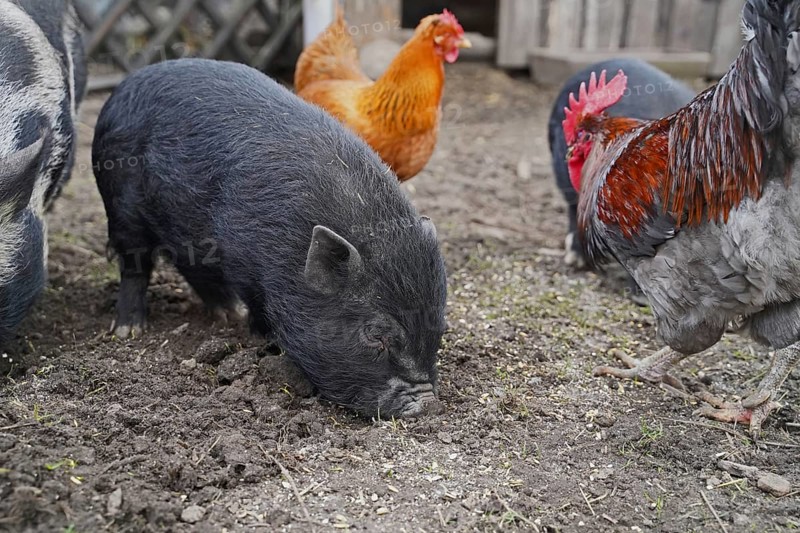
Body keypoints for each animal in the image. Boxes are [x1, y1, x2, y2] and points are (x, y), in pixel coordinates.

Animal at [92, 58, 448, 417]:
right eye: (375, 334)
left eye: (440, 323)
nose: (428, 404)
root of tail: (126, 85)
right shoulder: (242, 259)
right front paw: (263, 340)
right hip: (119, 202)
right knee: (135, 264)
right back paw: (129, 330)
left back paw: (227, 313)